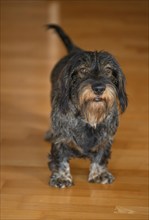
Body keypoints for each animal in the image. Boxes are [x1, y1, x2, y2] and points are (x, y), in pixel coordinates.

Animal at [45, 24, 128, 188]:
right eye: (83, 70)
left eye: (108, 70)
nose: (99, 88)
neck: (88, 117)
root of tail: (74, 50)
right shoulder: (61, 140)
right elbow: (60, 159)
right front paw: (61, 177)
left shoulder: (105, 139)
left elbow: (100, 157)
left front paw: (99, 174)